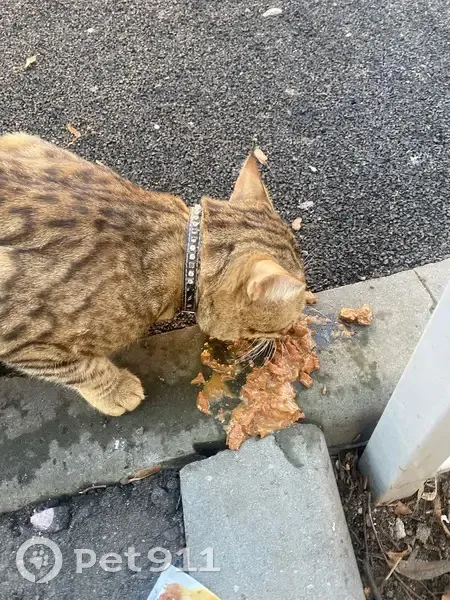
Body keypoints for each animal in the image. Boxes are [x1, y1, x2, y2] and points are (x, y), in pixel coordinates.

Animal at [0, 133, 306, 416]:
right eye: (284, 324)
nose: (288, 335)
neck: (183, 254)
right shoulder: (25, 341)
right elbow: (80, 370)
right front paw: (116, 391)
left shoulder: (21, 142)